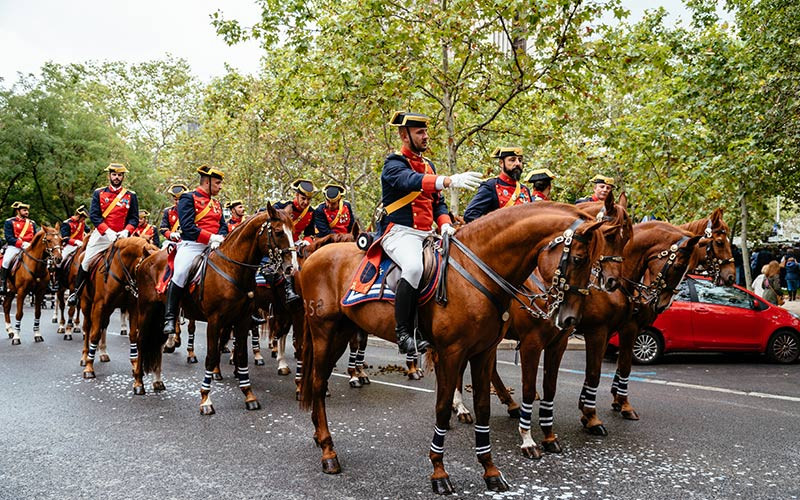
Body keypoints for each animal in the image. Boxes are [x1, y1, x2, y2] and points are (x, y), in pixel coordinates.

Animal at [79, 238, 160, 378]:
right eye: (148, 270)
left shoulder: (133, 308)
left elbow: (133, 335)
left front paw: (134, 364)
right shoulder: (99, 305)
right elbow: (94, 334)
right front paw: (89, 367)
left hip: (108, 309)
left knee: (103, 326)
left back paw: (102, 352)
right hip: (86, 304)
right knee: (88, 327)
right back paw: (85, 356)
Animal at [134, 204, 296, 414]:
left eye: (293, 231)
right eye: (278, 232)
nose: (292, 268)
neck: (231, 269)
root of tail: (146, 260)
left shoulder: (242, 320)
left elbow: (241, 356)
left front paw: (249, 395)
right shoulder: (215, 321)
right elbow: (211, 356)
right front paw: (205, 399)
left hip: (160, 313)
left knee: (157, 343)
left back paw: (157, 381)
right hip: (146, 310)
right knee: (141, 341)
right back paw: (138, 383)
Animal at [296, 201, 604, 494]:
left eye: (593, 262)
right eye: (579, 259)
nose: (569, 319)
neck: (477, 272)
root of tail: (313, 257)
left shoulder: (484, 352)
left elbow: (483, 407)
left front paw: (490, 470)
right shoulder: (452, 352)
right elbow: (442, 408)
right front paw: (439, 472)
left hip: (342, 332)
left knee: (320, 383)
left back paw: (319, 437)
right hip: (324, 333)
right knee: (318, 383)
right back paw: (328, 451)